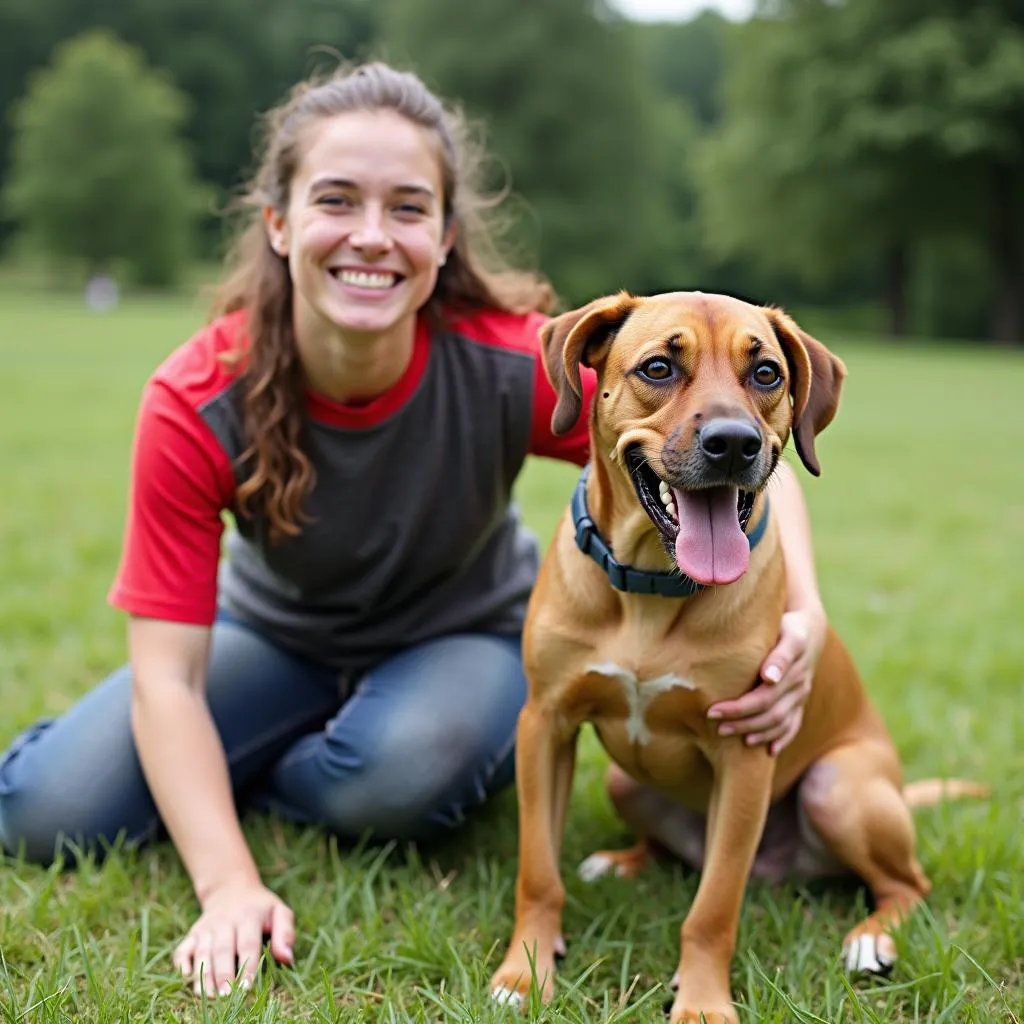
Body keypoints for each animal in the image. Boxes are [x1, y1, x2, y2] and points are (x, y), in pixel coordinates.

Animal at [487, 290, 983, 1024]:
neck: (650, 587)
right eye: (659, 367)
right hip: (624, 781)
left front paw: (701, 1002)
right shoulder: (543, 725)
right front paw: (524, 973)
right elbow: (537, 871)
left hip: (842, 786)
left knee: (906, 884)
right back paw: (626, 860)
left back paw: (870, 939)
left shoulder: (746, 751)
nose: (733, 443)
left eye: (767, 373)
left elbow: (715, 907)